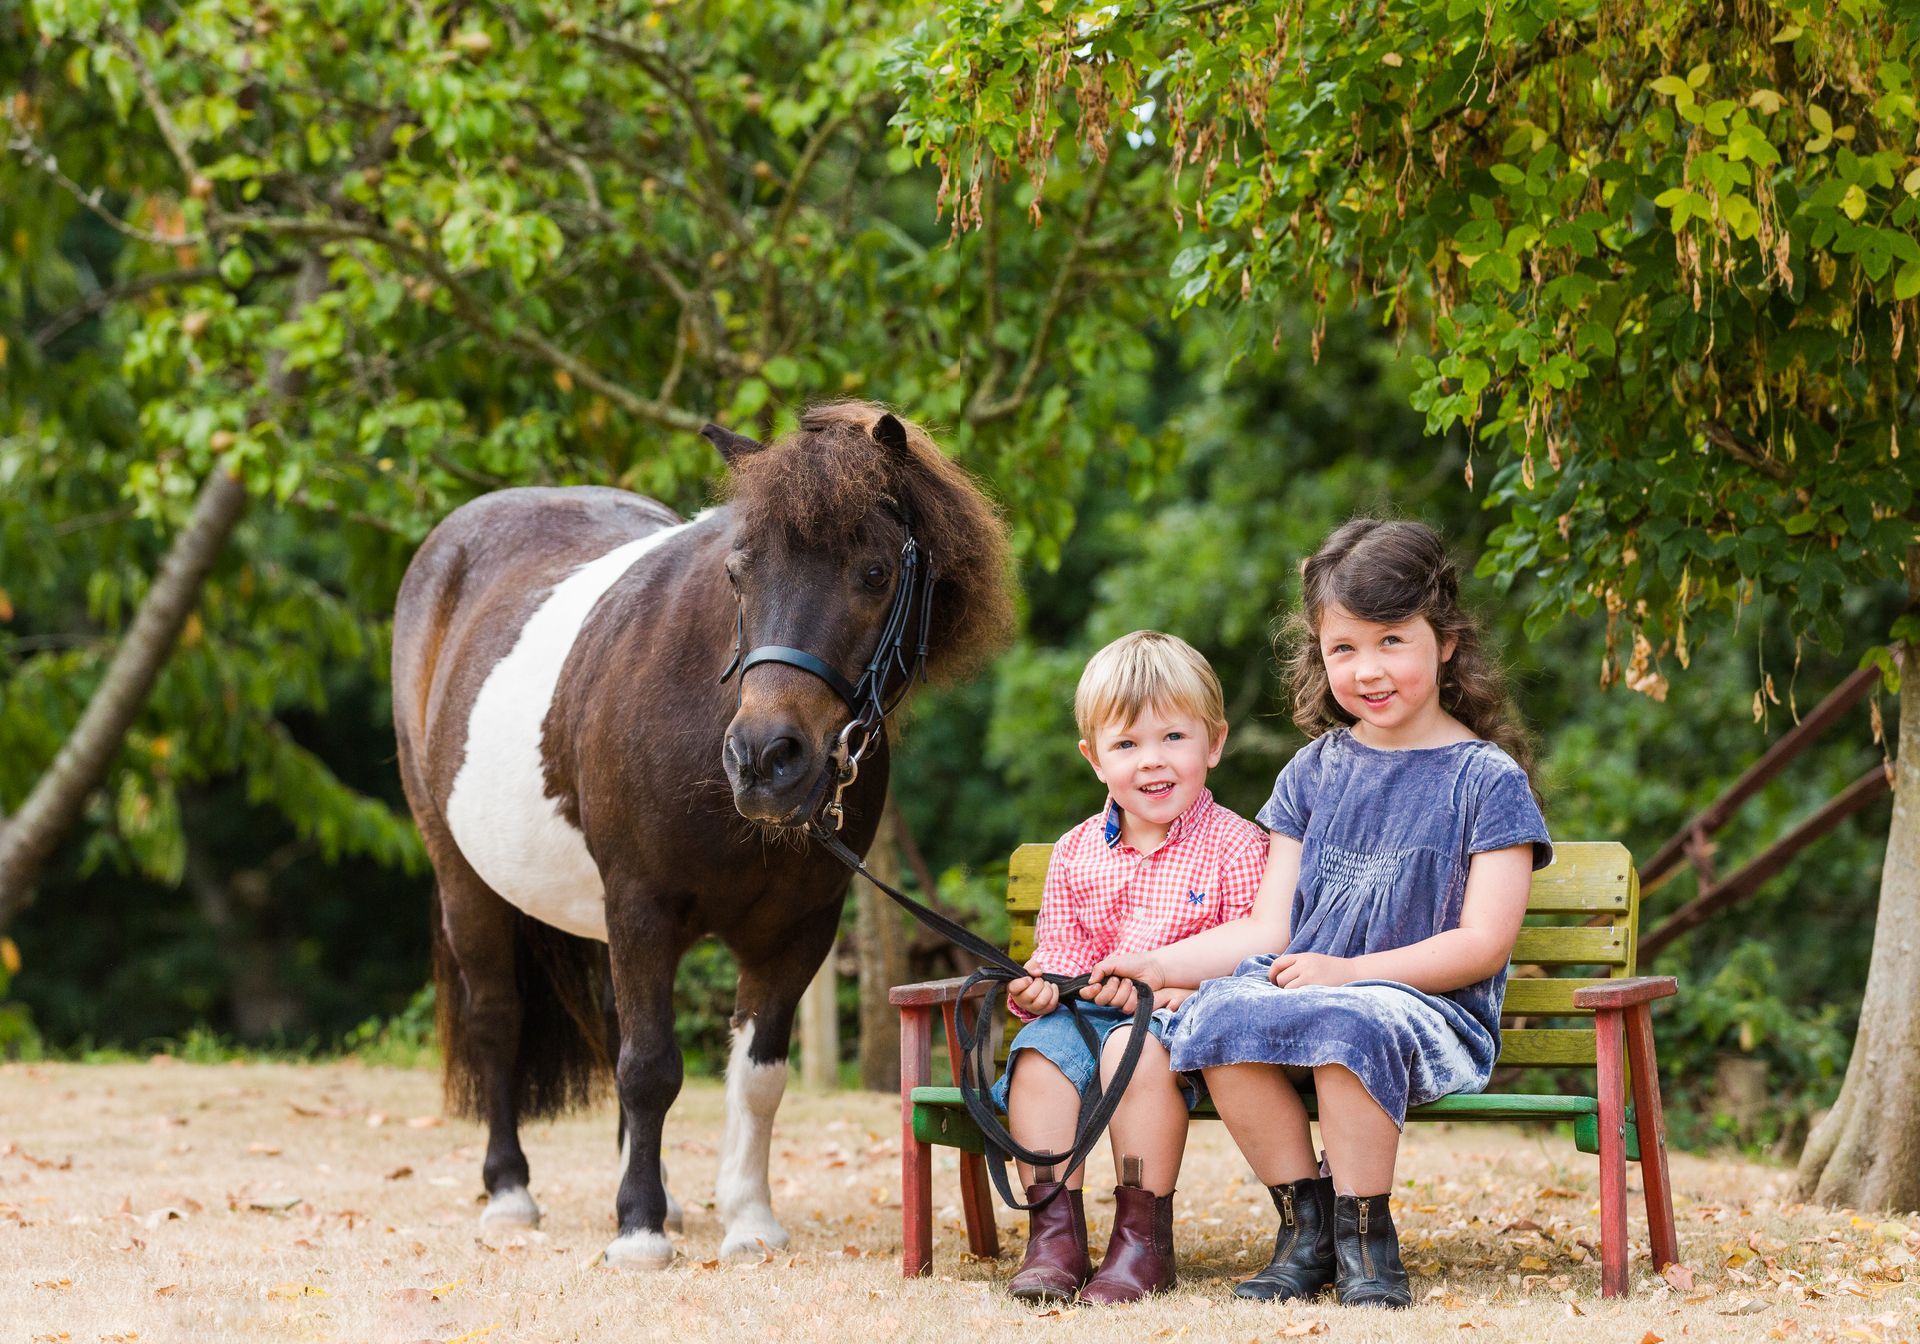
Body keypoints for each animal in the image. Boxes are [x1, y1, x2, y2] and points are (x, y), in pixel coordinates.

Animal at [390, 402, 1013, 1266]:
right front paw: (639, 1231)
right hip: (464, 878)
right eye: (738, 572)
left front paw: (747, 1220)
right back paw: (511, 1194)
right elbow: (650, 1066)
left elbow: (756, 1075)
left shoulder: (798, 932)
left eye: (875, 573)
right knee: (497, 1019)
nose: (764, 760)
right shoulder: (642, 907)